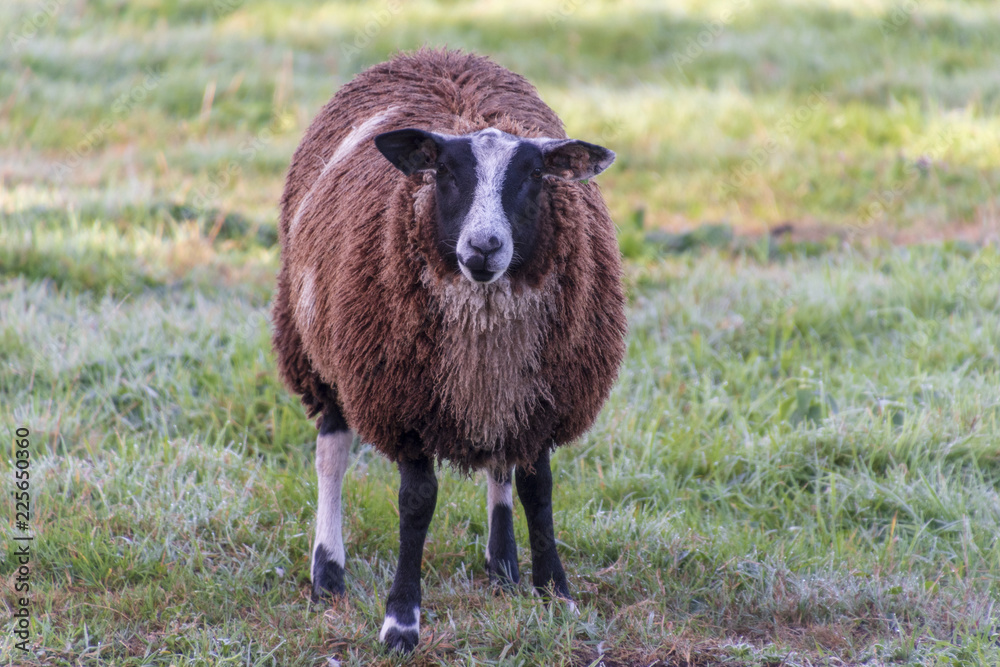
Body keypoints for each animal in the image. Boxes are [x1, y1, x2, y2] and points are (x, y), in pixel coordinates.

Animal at [271, 49, 626, 652]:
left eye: (535, 176)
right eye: (445, 173)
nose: (484, 246)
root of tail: (438, 54)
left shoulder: (540, 400)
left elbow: (538, 489)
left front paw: (555, 593)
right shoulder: (404, 403)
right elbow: (417, 503)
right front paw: (401, 621)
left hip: (501, 394)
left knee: (500, 466)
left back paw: (502, 565)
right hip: (322, 348)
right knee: (331, 453)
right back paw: (328, 574)